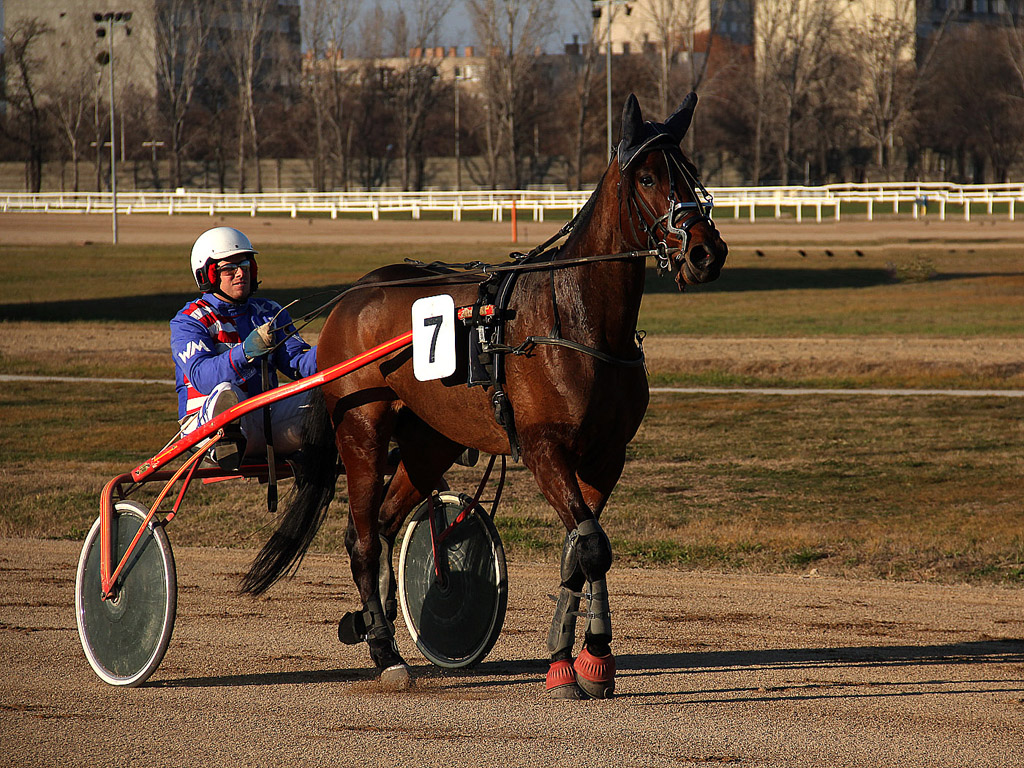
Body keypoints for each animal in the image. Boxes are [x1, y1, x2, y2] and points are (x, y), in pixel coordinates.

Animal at [243, 93, 729, 700]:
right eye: (646, 177)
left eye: (691, 172)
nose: (707, 252)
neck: (577, 321)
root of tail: (354, 295)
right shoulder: (545, 448)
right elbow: (592, 546)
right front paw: (583, 661)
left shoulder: (606, 456)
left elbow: (582, 550)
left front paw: (582, 658)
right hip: (362, 430)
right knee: (362, 538)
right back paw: (385, 652)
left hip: (431, 441)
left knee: (384, 524)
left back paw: (376, 624)